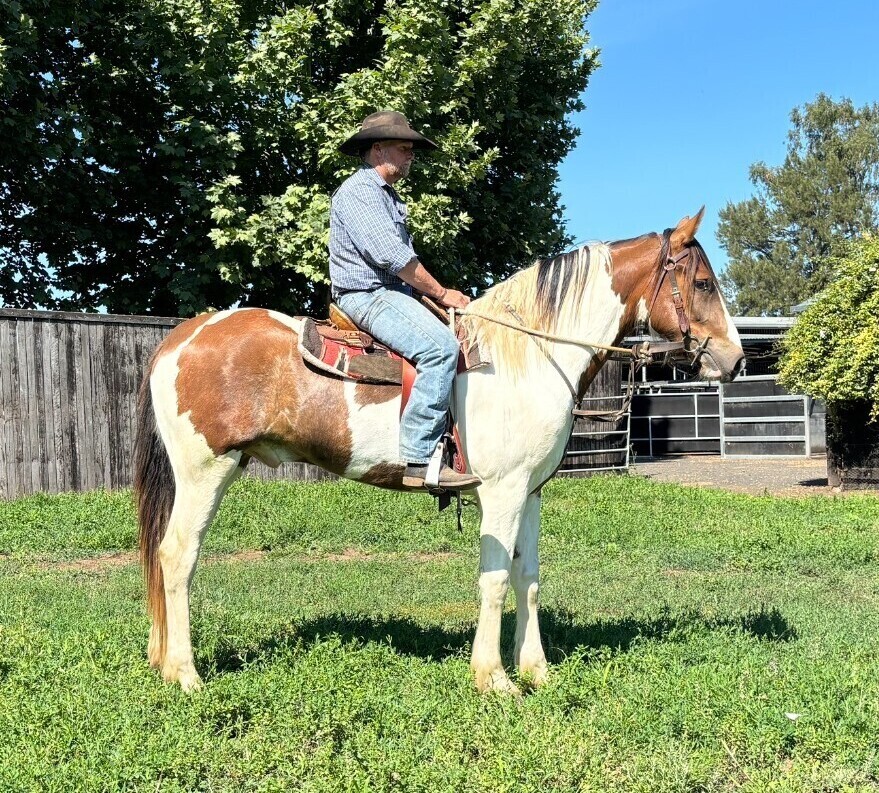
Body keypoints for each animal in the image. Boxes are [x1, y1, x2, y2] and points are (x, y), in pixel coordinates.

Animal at [134, 208, 744, 694]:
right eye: (704, 283)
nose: (735, 360)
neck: (530, 354)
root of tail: (180, 339)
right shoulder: (500, 493)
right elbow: (494, 580)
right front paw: (494, 678)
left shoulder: (530, 492)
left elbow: (528, 577)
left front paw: (536, 671)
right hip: (205, 472)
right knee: (177, 556)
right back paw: (185, 674)